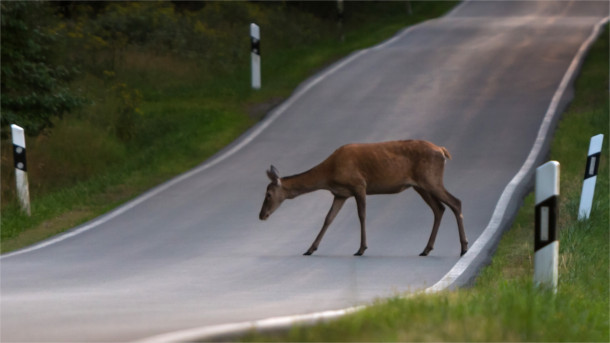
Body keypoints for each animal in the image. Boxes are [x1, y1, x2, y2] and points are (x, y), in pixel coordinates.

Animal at [256, 140, 466, 258]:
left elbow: (361, 215)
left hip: (430, 179)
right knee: (439, 208)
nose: (261, 215)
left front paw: (361, 248)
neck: (329, 174)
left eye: (268, 194)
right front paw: (310, 249)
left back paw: (463, 248)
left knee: (456, 202)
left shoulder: (359, 185)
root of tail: (442, 151)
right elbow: (328, 219)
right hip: (420, 185)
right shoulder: (340, 194)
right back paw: (426, 249)